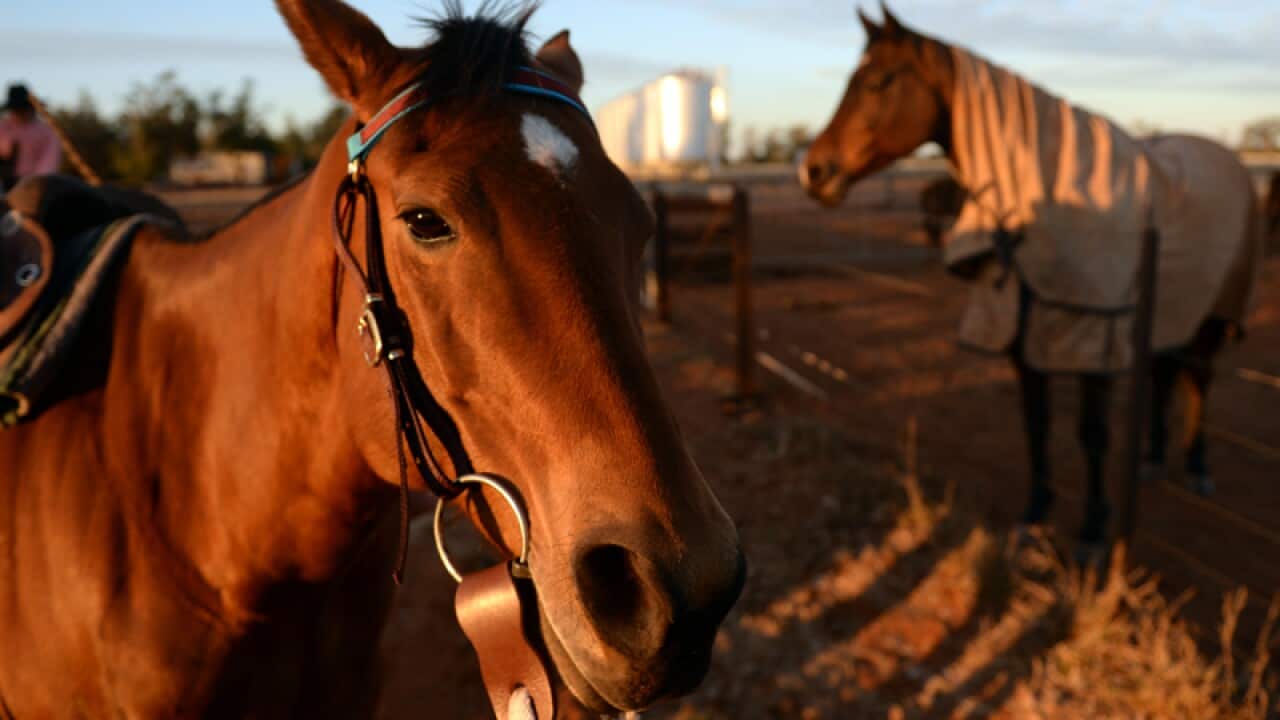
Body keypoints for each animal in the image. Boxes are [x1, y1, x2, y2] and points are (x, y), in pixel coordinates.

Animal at [799, 5, 1262, 547]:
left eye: (877, 81)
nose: (814, 171)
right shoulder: (1024, 341)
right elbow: (1036, 425)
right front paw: (1035, 514)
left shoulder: (1095, 334)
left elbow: (1092, 434)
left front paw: (1092, 531)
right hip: (1172, 307)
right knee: (1166, 372)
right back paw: (1151, 459)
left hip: (1212, 312)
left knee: (1198, 379)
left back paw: (1196, 465)